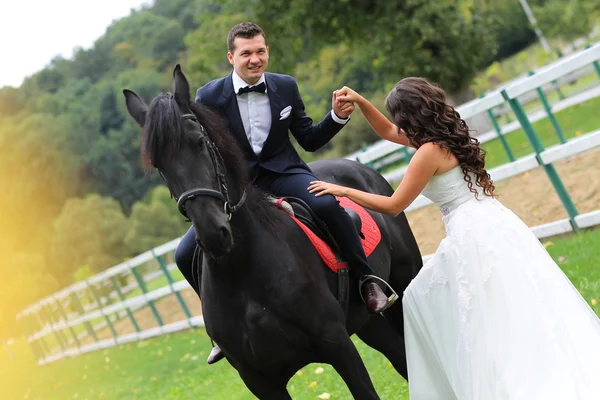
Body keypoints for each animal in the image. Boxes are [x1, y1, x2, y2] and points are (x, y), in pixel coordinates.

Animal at [122, 64, 422, 398]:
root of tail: (361, 168)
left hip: (404, 283)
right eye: (159, 165)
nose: (213, 233)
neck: (244, 270)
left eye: (199, 141)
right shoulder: (259, 380)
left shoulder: (338, 346)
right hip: (367, 323)